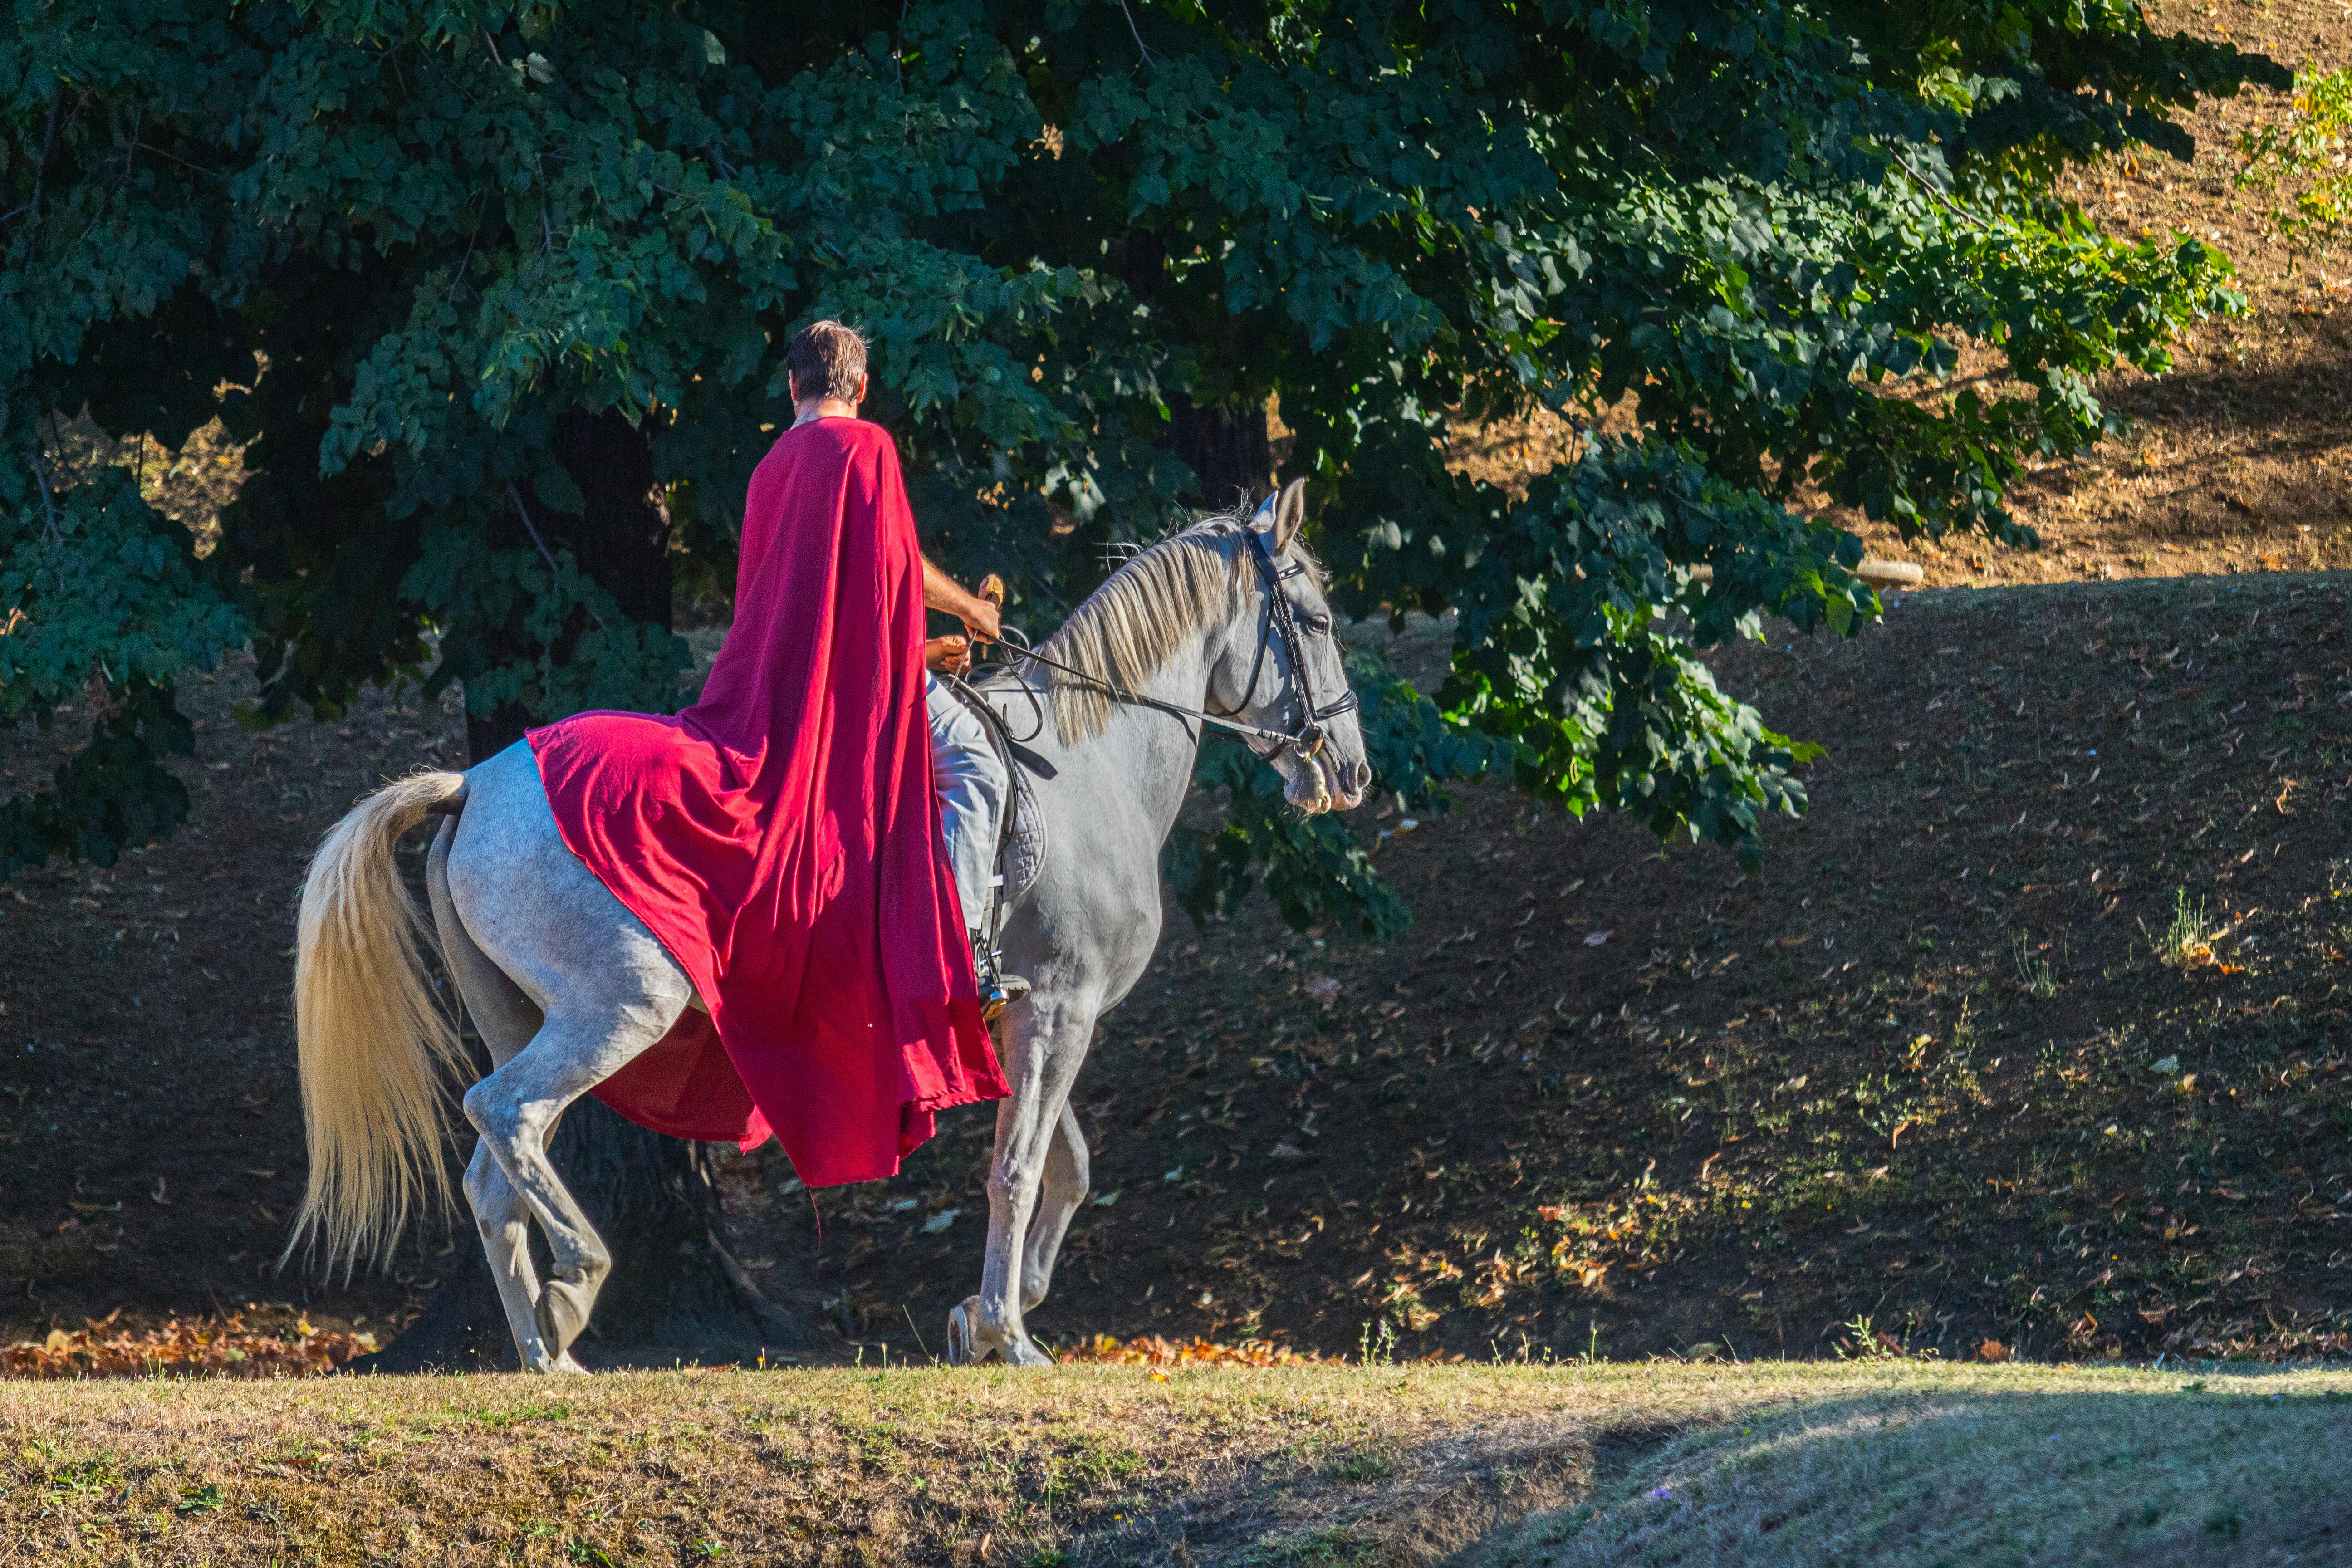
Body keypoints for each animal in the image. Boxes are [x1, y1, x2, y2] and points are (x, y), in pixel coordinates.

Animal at [289, 482, 1373, 1372]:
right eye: (1316, 619)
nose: (1352, 770)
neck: (1085, 761)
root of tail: (477, 782)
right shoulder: (1061, 1009)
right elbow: (1021, 1170)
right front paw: (1008, 1333)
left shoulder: (1036, 1012)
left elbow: (1065, 1168)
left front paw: (984, 1316)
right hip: (621, 1008)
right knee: (507, 1115)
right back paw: (573, 1290)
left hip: (523, 1016)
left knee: (490, 1170)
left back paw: (543, 1351)